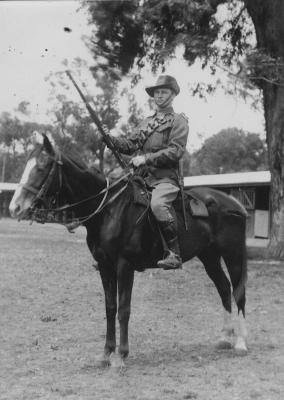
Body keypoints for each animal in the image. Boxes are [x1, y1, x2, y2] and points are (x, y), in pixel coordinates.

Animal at [9, 134, 248, 368]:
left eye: (42, 167)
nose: (15, 207)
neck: (108, 209)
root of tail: (235, 203)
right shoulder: (104, 267)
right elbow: (110, 308)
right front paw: (106, 354)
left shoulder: (125, 266)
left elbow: (124, 309)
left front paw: (121, 356)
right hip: (209, 257)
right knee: (223, 288)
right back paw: (225, 338)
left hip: (233, 255)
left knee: (238, 291)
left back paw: (241, 343)